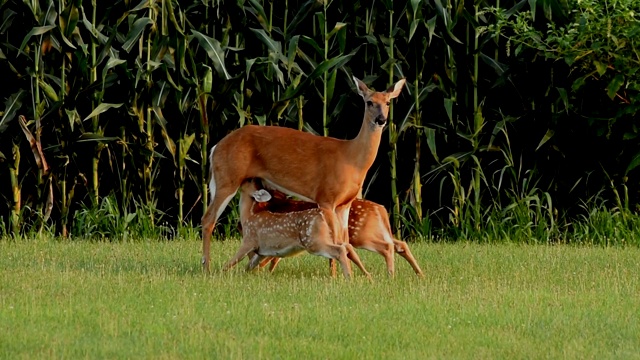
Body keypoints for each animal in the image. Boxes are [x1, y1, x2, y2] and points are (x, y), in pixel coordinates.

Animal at [222, 179, 370, 280]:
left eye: (249, 180)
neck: (248, 216)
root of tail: (327, 215)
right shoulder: (261, 251)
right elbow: (249, 267)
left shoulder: (249, 240)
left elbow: (230, 263)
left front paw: (218, 275)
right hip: (335, 235)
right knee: (348, 247)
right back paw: (368, 276)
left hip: (314, 241)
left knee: (340, 250)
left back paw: (349, 278)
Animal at [245, 187, 424, 278]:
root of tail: (381, 209)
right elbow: (273, 258)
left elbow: (271, 257)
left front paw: (259, 272)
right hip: (377, 231)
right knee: (400, 244)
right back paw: (419, 274)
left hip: (361, 235)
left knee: (387, 247)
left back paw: (390, 275)